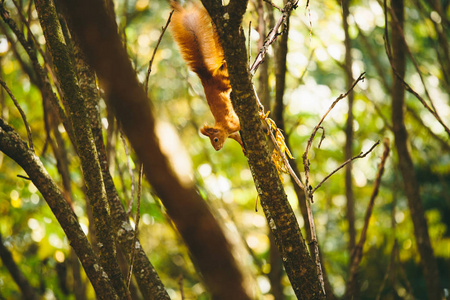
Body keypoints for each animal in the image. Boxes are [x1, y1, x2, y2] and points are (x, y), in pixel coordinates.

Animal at [171, 1, 244, 152]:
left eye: (215, 139)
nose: (217, 149)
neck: (222, 127)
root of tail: (207, 78)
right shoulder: (231, 132)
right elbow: (237, 137)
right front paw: (243, 147)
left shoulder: (232, 123)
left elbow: (240, 125)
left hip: (221, 81)